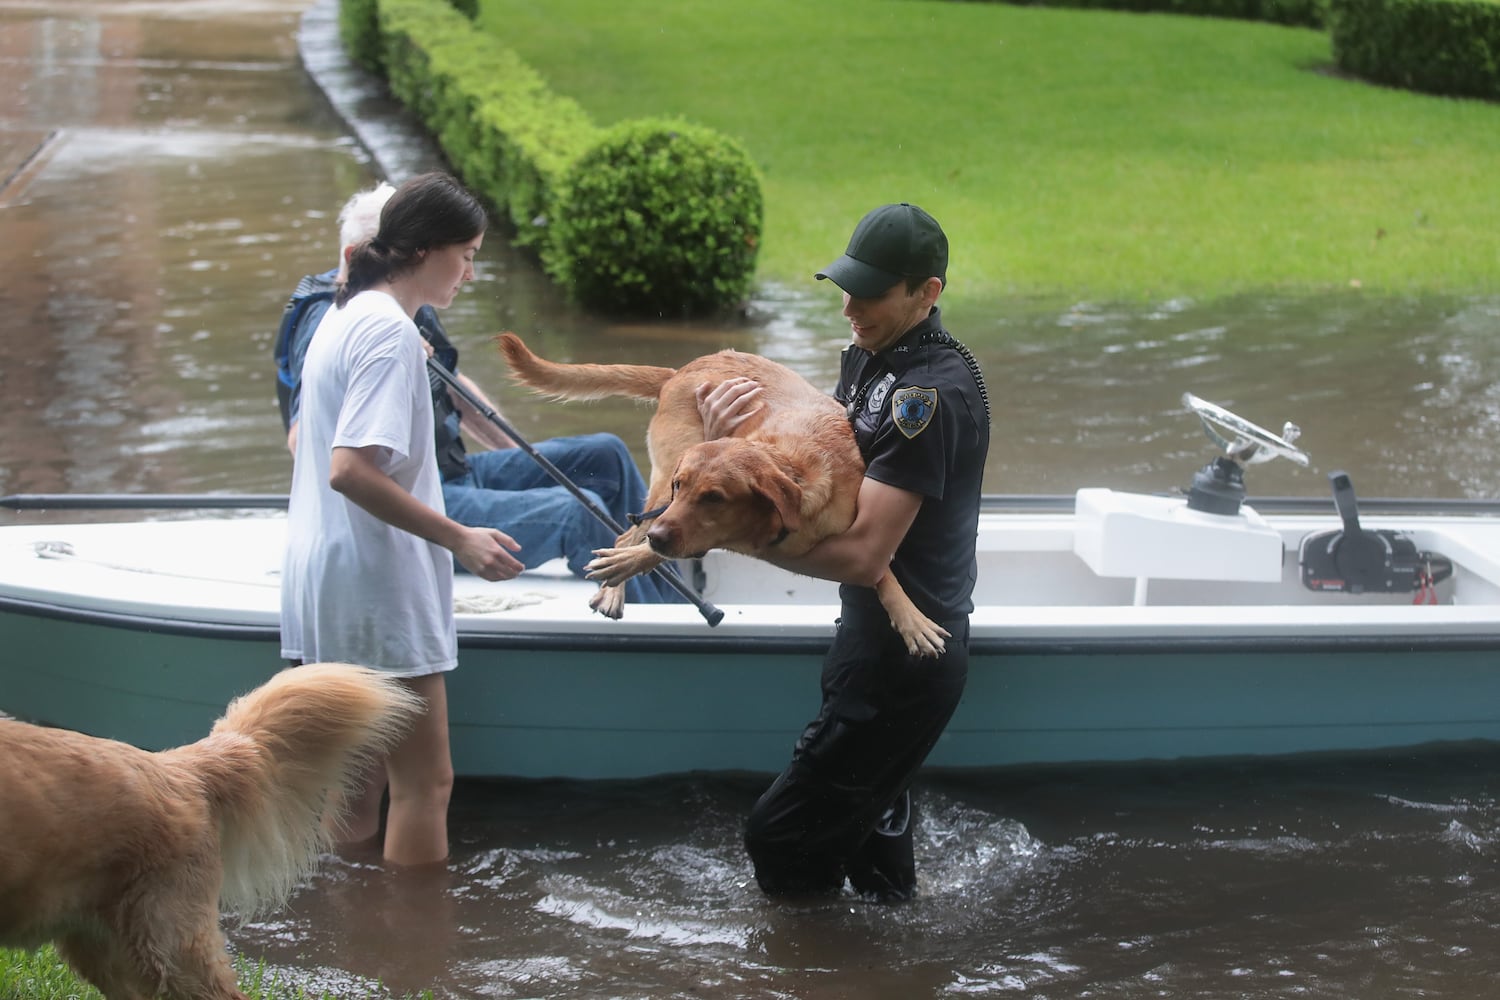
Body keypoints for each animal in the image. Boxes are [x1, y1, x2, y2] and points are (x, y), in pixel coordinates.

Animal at [498, 332, 942, 653]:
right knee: (628, 535)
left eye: (713, 498)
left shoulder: (863, 539)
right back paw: (615, 586)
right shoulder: (673, 512)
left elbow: (882, 573)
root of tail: (679, 371)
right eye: (683, 487)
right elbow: (648, 548)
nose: (659, 537)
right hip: (662, 480)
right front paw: (626, 565)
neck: (795, 469)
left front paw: (911, 618)